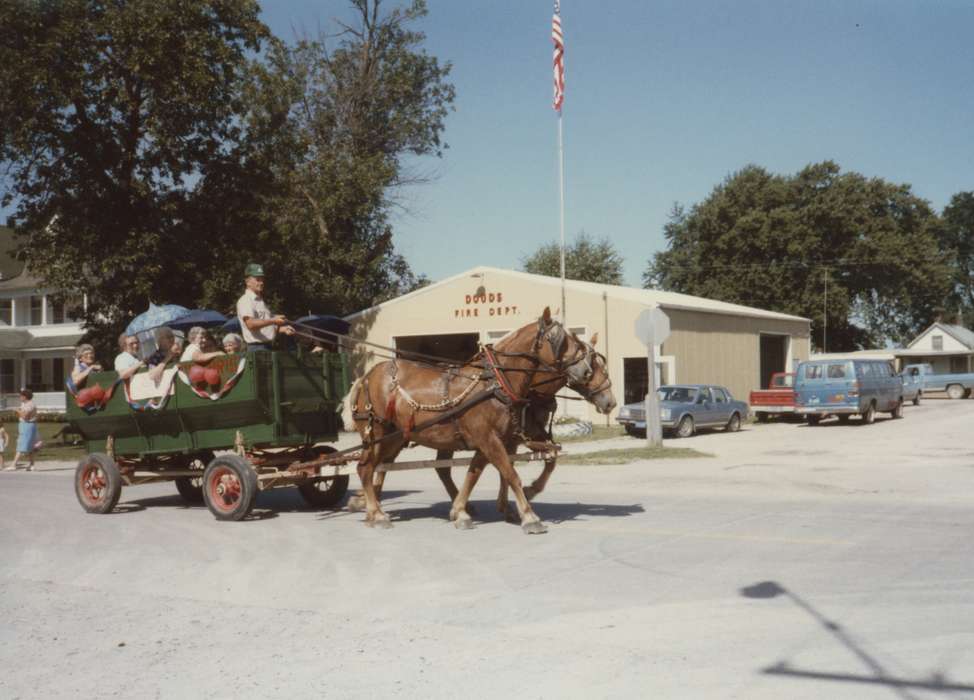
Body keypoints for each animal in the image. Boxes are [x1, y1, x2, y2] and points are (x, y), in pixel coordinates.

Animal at [346, 308, 612, 532]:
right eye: (559, 341)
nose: (610, 401)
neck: (497, 383)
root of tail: (365, 378)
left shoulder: (498, 439)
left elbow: (478, 472)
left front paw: (462, 510)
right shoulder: (489, 438)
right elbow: (510, 472)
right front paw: (529, 515)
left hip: (397, 436)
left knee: (380, 466)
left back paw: (370, 507)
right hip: (377, 431)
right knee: (366, 467)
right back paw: (375, 511)